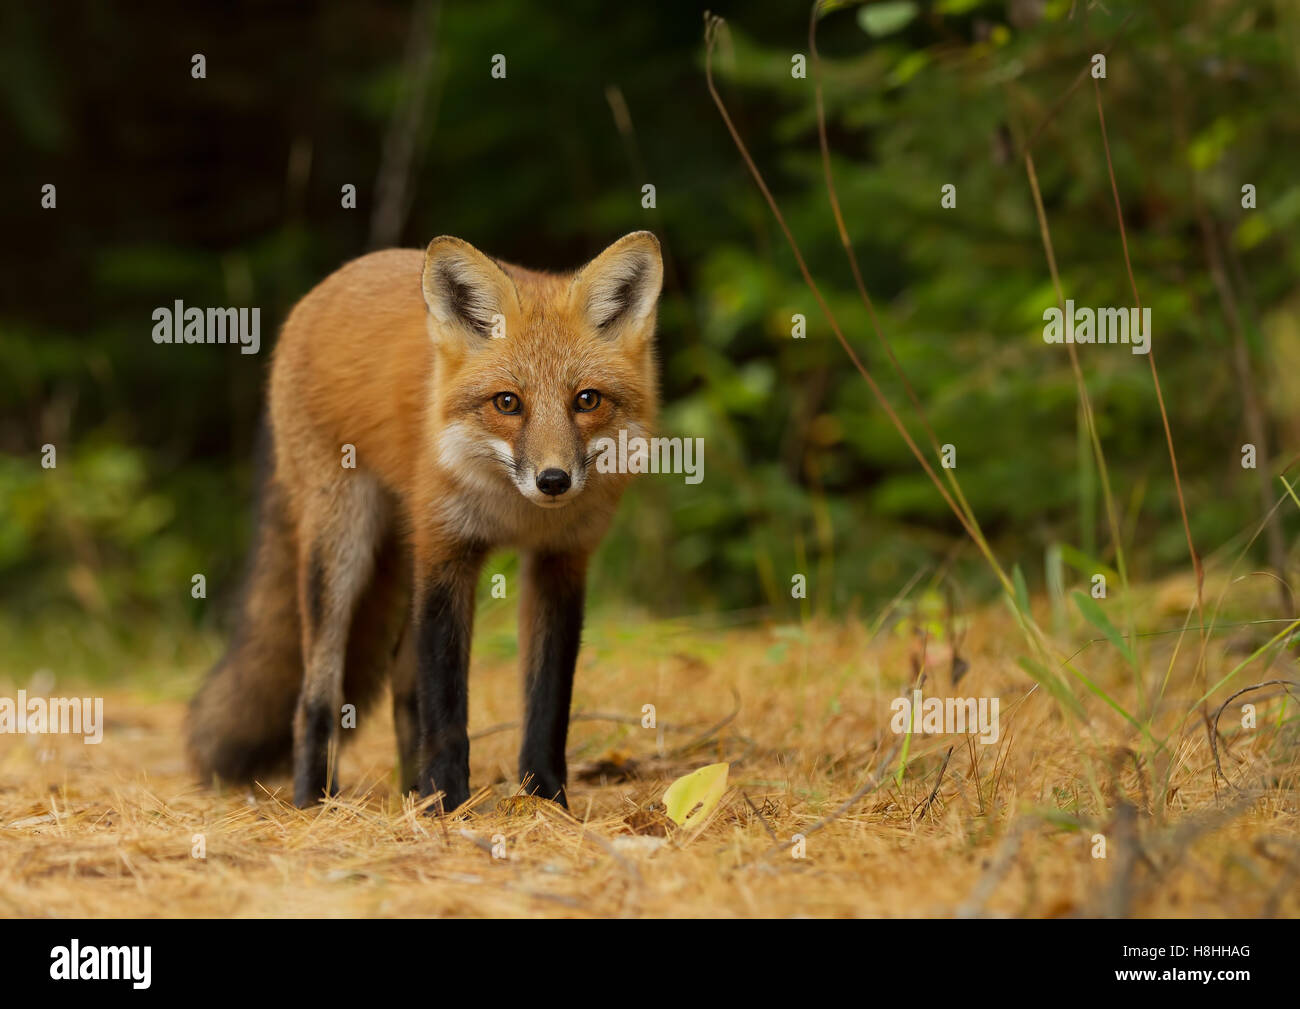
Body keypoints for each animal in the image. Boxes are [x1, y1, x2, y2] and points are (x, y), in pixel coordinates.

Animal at [187, 231, 663, 811]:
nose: (553, 480)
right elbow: (447, 706)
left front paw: (546, 801)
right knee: (316, 694)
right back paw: (315, 801)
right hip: (343, 550)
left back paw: (409, 791)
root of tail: (330, 283)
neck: (513, 512)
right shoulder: (445, 550)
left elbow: (547, 704)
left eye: (586, 400)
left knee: (400, 681)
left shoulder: (561, 561)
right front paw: (449, 803)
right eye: (508, 402)